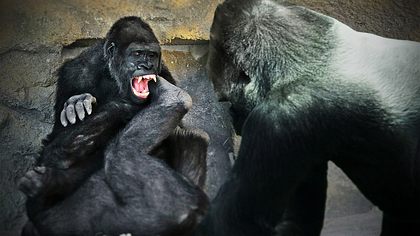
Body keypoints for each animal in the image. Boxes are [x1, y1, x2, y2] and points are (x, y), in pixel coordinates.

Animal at [18, 17, 209, 236]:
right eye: (137, 54)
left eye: (152, 55)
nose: (146, 65)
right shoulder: (75, 74)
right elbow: (56, 139)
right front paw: (80, 102)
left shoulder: (163, 72)